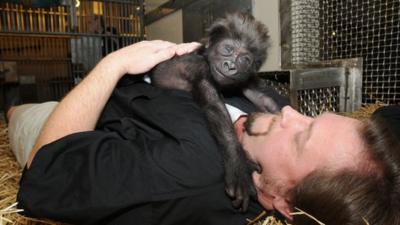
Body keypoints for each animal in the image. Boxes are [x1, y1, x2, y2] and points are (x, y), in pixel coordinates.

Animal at [150, 11, 278, 211]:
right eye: (227, 49)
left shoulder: (245, 79)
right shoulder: (198, 67)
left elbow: (261, 99)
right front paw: (238, 164)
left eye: (244, 60)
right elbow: (214, 107)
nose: (230, 65)